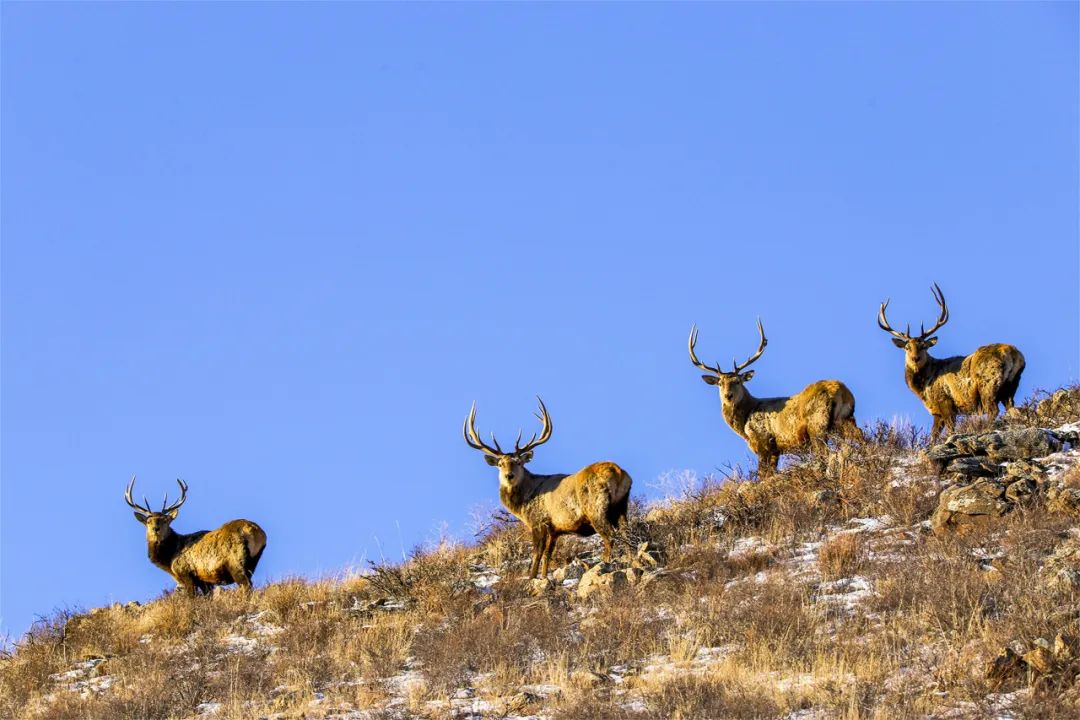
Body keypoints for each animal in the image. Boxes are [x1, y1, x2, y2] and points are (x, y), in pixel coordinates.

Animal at [125, 474, 266, 595]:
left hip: (236, 562)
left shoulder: (186, 574)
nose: (156, 529)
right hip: (253, 561)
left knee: (247, 586)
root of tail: (255, 531)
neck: (170, 559)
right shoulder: (205, 581)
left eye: (165, 520)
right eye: (148, 521)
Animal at [464, 397, 630, 582]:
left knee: (610, 536)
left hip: (596, 507)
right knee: (627, 533)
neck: (524, 502)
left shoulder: (538, 521)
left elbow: (537, 554)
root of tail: (618, 471)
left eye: (519, 462)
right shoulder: (554, 529)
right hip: (622, 505)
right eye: (500, 464)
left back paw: (606, 564)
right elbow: (547, 555)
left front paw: (531, 579)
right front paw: (544, 578)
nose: (509, 476)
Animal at [691, 321, 859, 472]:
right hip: (846, 418)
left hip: (817, 422)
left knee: (826, 453)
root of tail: (840, 391)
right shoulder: (775, 450)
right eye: (720, 383)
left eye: (737, 381)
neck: (745, 422)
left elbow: (763, 475)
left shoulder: (763, 441)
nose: (728, 396)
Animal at [872, 282, 1023, 442]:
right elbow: (933, 437)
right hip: (1011, 387)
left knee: (993, 410)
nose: (915, 358)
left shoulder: (945, 402)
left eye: (923, 346)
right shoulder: (937, 412)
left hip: (988, 383)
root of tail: (1013, 353)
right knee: (1013, 409)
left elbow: (949, 431)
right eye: (907, 347)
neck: (924, 388)